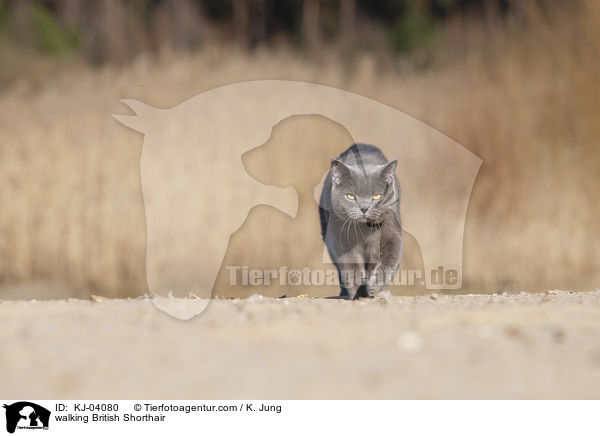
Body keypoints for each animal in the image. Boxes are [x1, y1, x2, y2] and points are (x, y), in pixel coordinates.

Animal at [318, 143, 404, 300]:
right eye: (350, 196)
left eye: (377, 196)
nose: (364, 208)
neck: (364, 229)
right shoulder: (339, 238)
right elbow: (350, 265)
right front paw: (356, 290)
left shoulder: (391, 232)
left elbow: (390, 260)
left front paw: (375, 286)